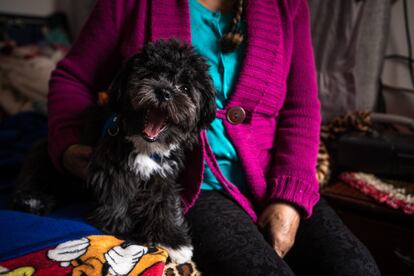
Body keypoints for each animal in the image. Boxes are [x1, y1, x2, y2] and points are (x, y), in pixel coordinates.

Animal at [12, 40, 217, 264]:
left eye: (185, 88)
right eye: (150, 74)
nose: (164, 92)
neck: (144, 146)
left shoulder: (162, 175)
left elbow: (164, 204)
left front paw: (173, 240)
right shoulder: (112, 169)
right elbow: (118, 199)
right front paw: (126, 234)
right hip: (43, 155)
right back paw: (33, 199)